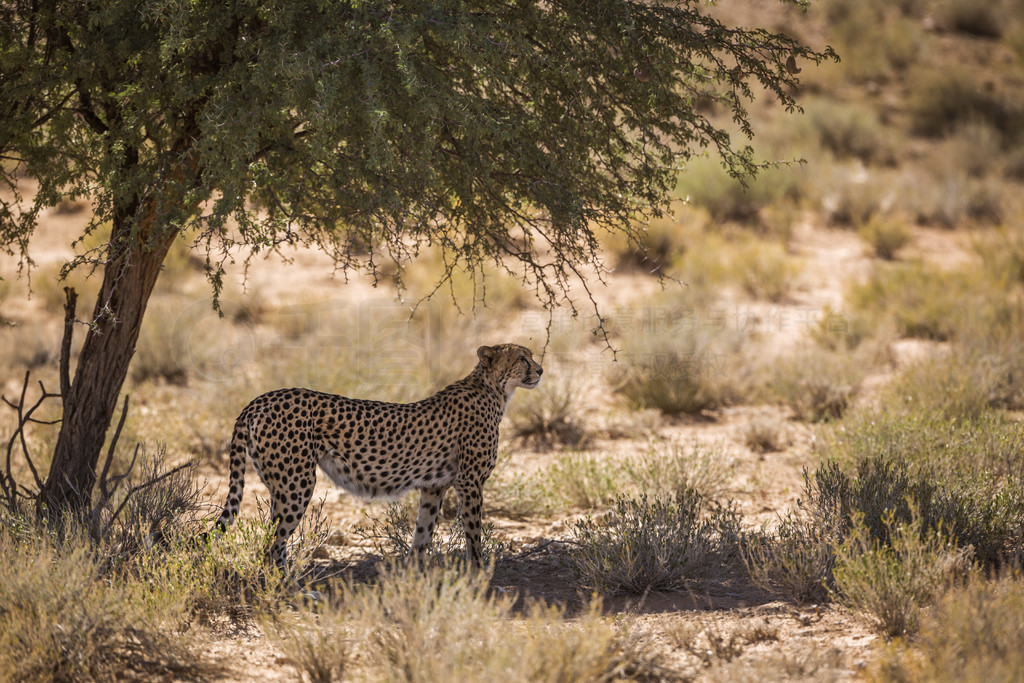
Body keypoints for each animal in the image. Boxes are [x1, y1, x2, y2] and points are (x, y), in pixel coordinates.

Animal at [208, 344, 544, 569]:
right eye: (522, 358)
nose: (540, 370)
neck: (493, 390)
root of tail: (261, 399)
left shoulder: (434, 487)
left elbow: (422, 534)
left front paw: (412, 577)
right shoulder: (470, 482)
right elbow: (474, 535)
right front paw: (478, 573)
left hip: (280, 484)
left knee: (271, 542)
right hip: (296, 484)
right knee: (272, 545)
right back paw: (289, 590)